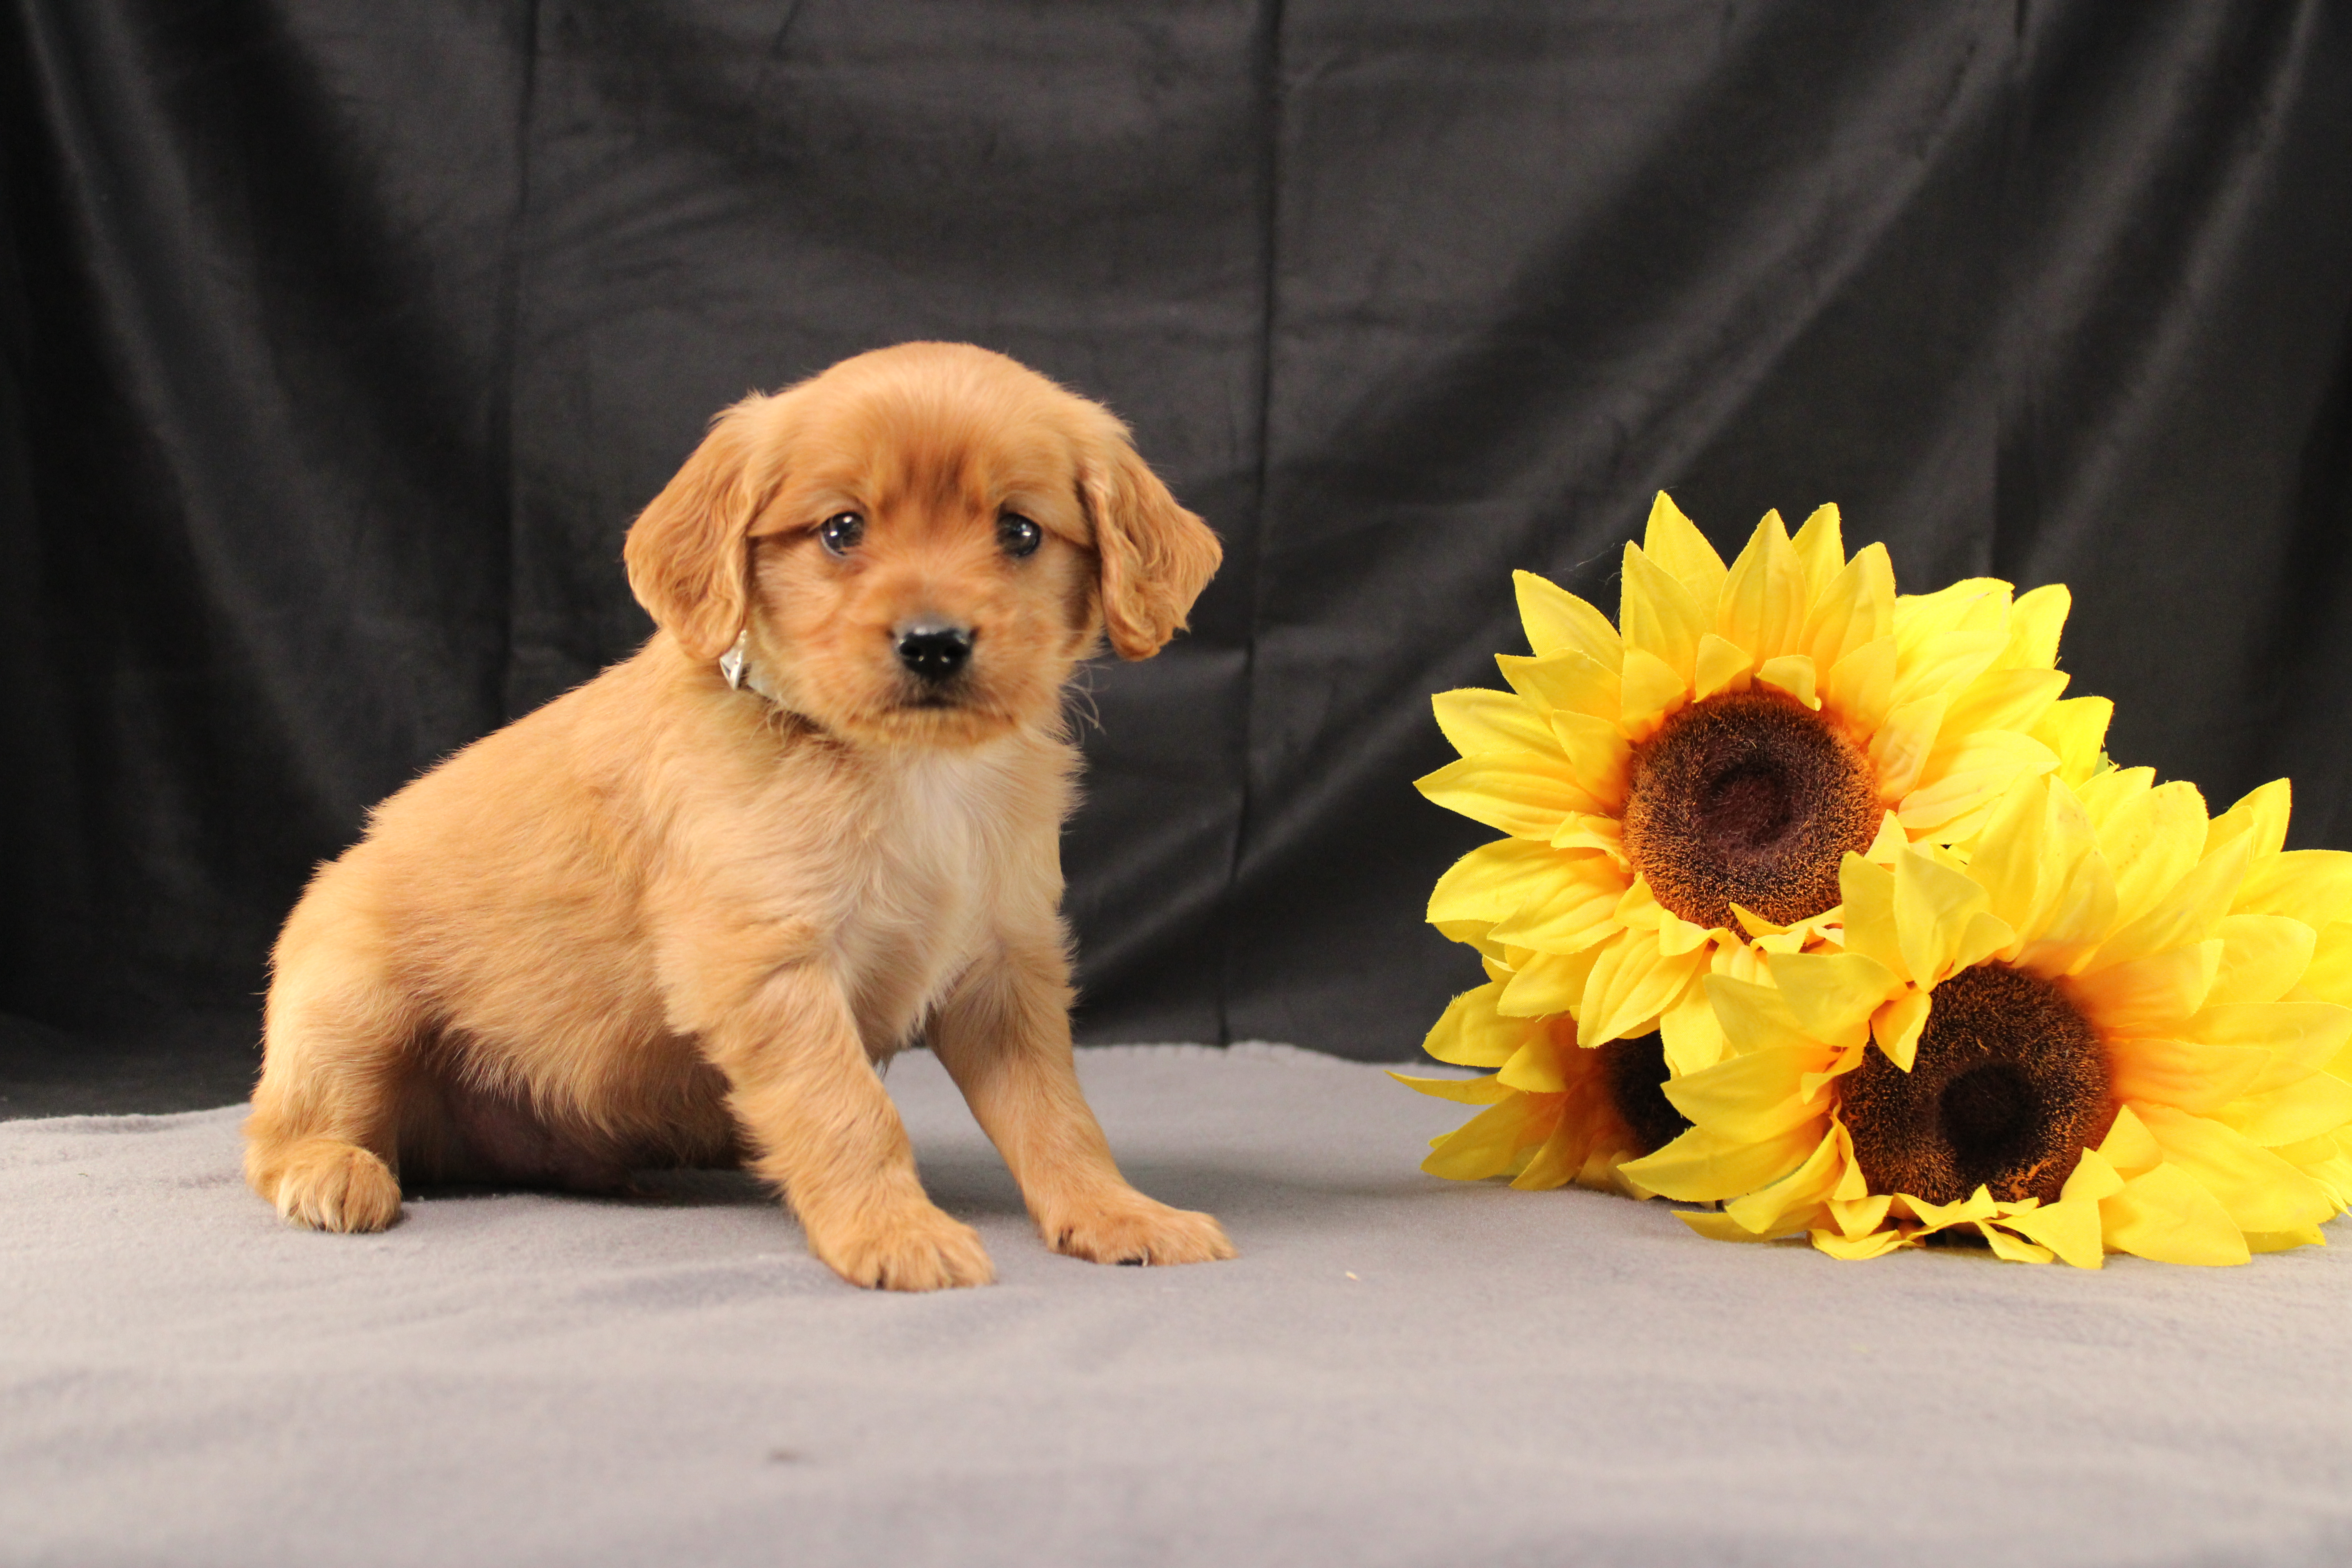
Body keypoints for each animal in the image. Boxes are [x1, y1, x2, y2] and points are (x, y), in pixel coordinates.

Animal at [241, 343, 1242, 1288]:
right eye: (842, 529)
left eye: (1020, 531)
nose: (934, 643)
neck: (909, 772)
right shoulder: (766, 966)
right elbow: (849, 1111)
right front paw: (895, 1231)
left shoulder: (1004, 968)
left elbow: (1058, 1114)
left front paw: (1119, 1213)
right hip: (348, 998)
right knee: (278, 1131)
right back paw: (334, 1169)